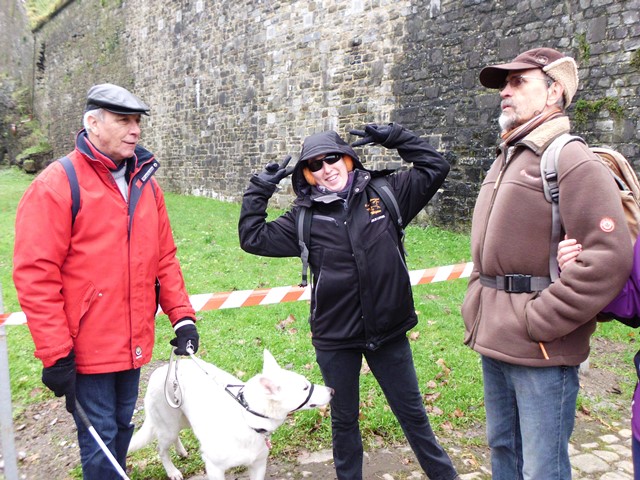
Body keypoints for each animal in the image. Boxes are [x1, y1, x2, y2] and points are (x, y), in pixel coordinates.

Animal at [126, 348, 336, 480]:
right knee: (162, 450)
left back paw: (181, 451)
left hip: (183, 421)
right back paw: (172, 471)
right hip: (167, 426)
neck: (248, 419)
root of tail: (163, 370)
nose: (332, 390)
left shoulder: (258, 465)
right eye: (305, 387)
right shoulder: (214, 469)